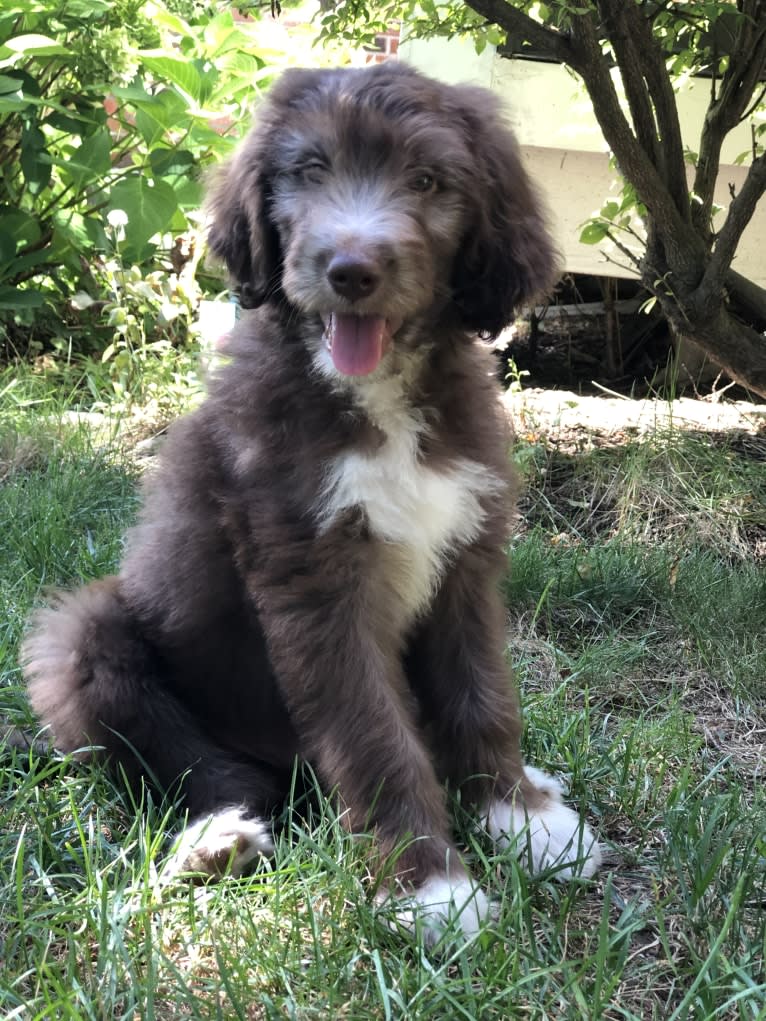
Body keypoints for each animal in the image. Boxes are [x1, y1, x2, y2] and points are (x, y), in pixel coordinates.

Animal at [20, 61, 604, 939]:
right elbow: (375, 733)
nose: (351, 270)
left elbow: (481, 694)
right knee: (204, 765)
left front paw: (521, 817)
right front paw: (429, 884)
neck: (379, 400)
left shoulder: (467, 558)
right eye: (309, 171)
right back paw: (215, 839)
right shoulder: (314, 581)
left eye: (427, 180)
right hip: (83, 639)